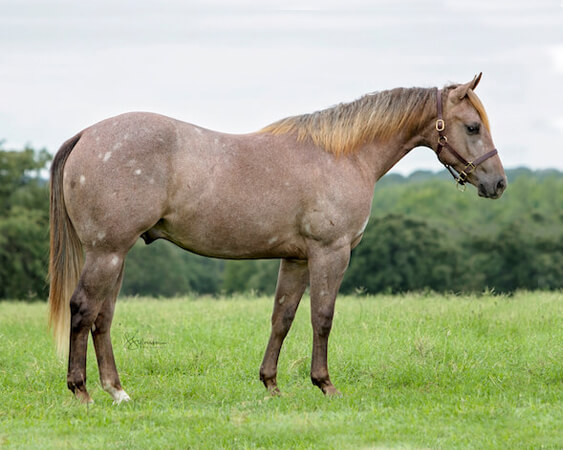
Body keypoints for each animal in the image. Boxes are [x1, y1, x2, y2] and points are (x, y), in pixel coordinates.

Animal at [48, 74, 506, 404]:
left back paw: (117, 390)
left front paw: (271, 384)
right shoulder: (330, 253)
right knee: (83, 309)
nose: (498, 184)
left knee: (103, 318)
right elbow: (322, 317)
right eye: (472, 127)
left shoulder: (296, 259)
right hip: (107, 253)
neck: (343, 155)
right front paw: (325, 384)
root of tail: (86, 135)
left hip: (116, 255)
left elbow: (282, 318)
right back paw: (82, 391)